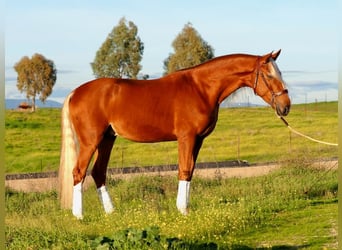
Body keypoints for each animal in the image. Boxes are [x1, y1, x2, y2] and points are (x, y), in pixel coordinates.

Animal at [59, 49, 292, 218]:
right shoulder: (186, 138)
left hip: (107, 139)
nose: (286, 106)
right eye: (269, 74)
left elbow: (191, 171)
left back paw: (111, 213)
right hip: (91, 141)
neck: (200, 88)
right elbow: (184, 170)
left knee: (98, 172)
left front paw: (185, 208)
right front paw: (183, 211)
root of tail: (75, 93)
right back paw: (79, 216)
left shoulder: (198, 140)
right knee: (78, 172)